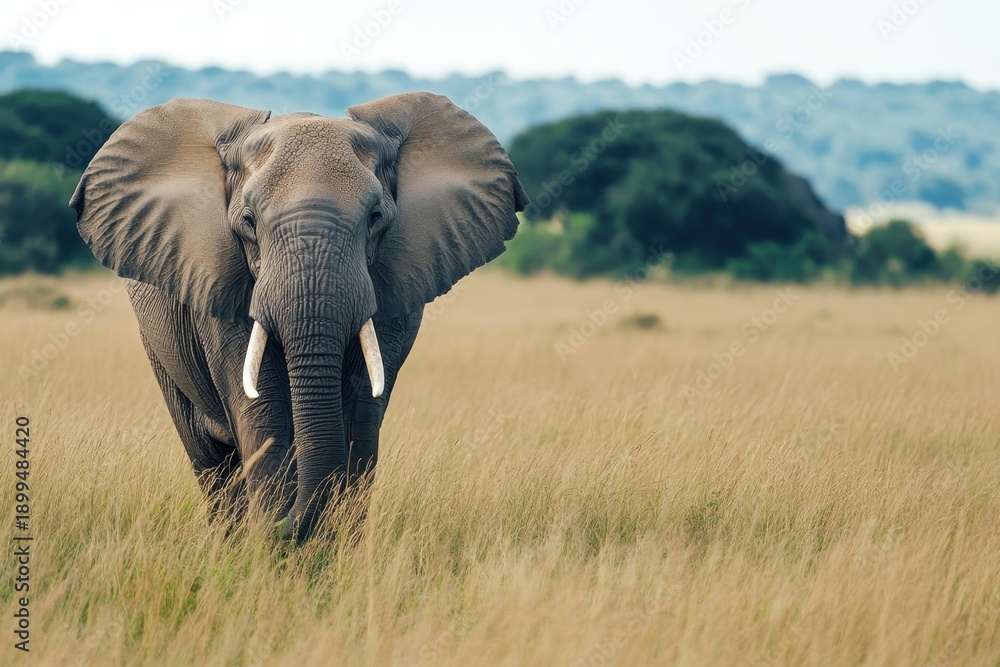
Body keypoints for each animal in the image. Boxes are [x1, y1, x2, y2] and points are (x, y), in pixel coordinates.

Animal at [70, 93, 528, 541]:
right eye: (248, 221)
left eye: (376, 217)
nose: (286, 526)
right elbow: (263, 409)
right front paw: (273, 548)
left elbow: (361, 414)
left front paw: (328, 551)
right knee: (209, 461)